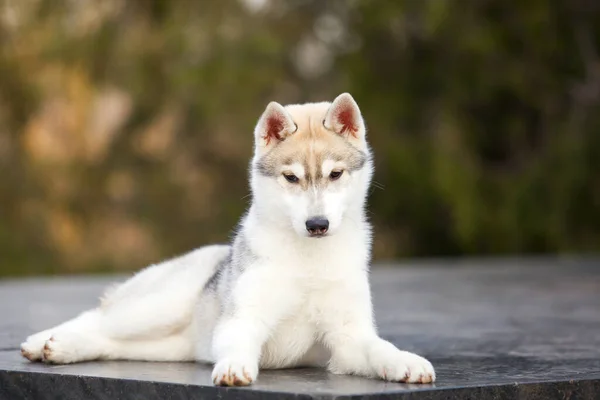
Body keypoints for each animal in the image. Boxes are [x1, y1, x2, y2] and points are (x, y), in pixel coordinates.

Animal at [21, 92, 436, 386]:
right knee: (99, 315)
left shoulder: (348, 338)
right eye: (291, 178)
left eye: (335, 174)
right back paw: (44, 341)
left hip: (172, 345)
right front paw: (235, 367)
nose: (317, 224)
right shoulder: (242, 318)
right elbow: (238, 343)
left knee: (113, 344)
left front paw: (406, 362)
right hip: (156, 308)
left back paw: (61, 349)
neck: (308, 261)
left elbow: (379, 348)